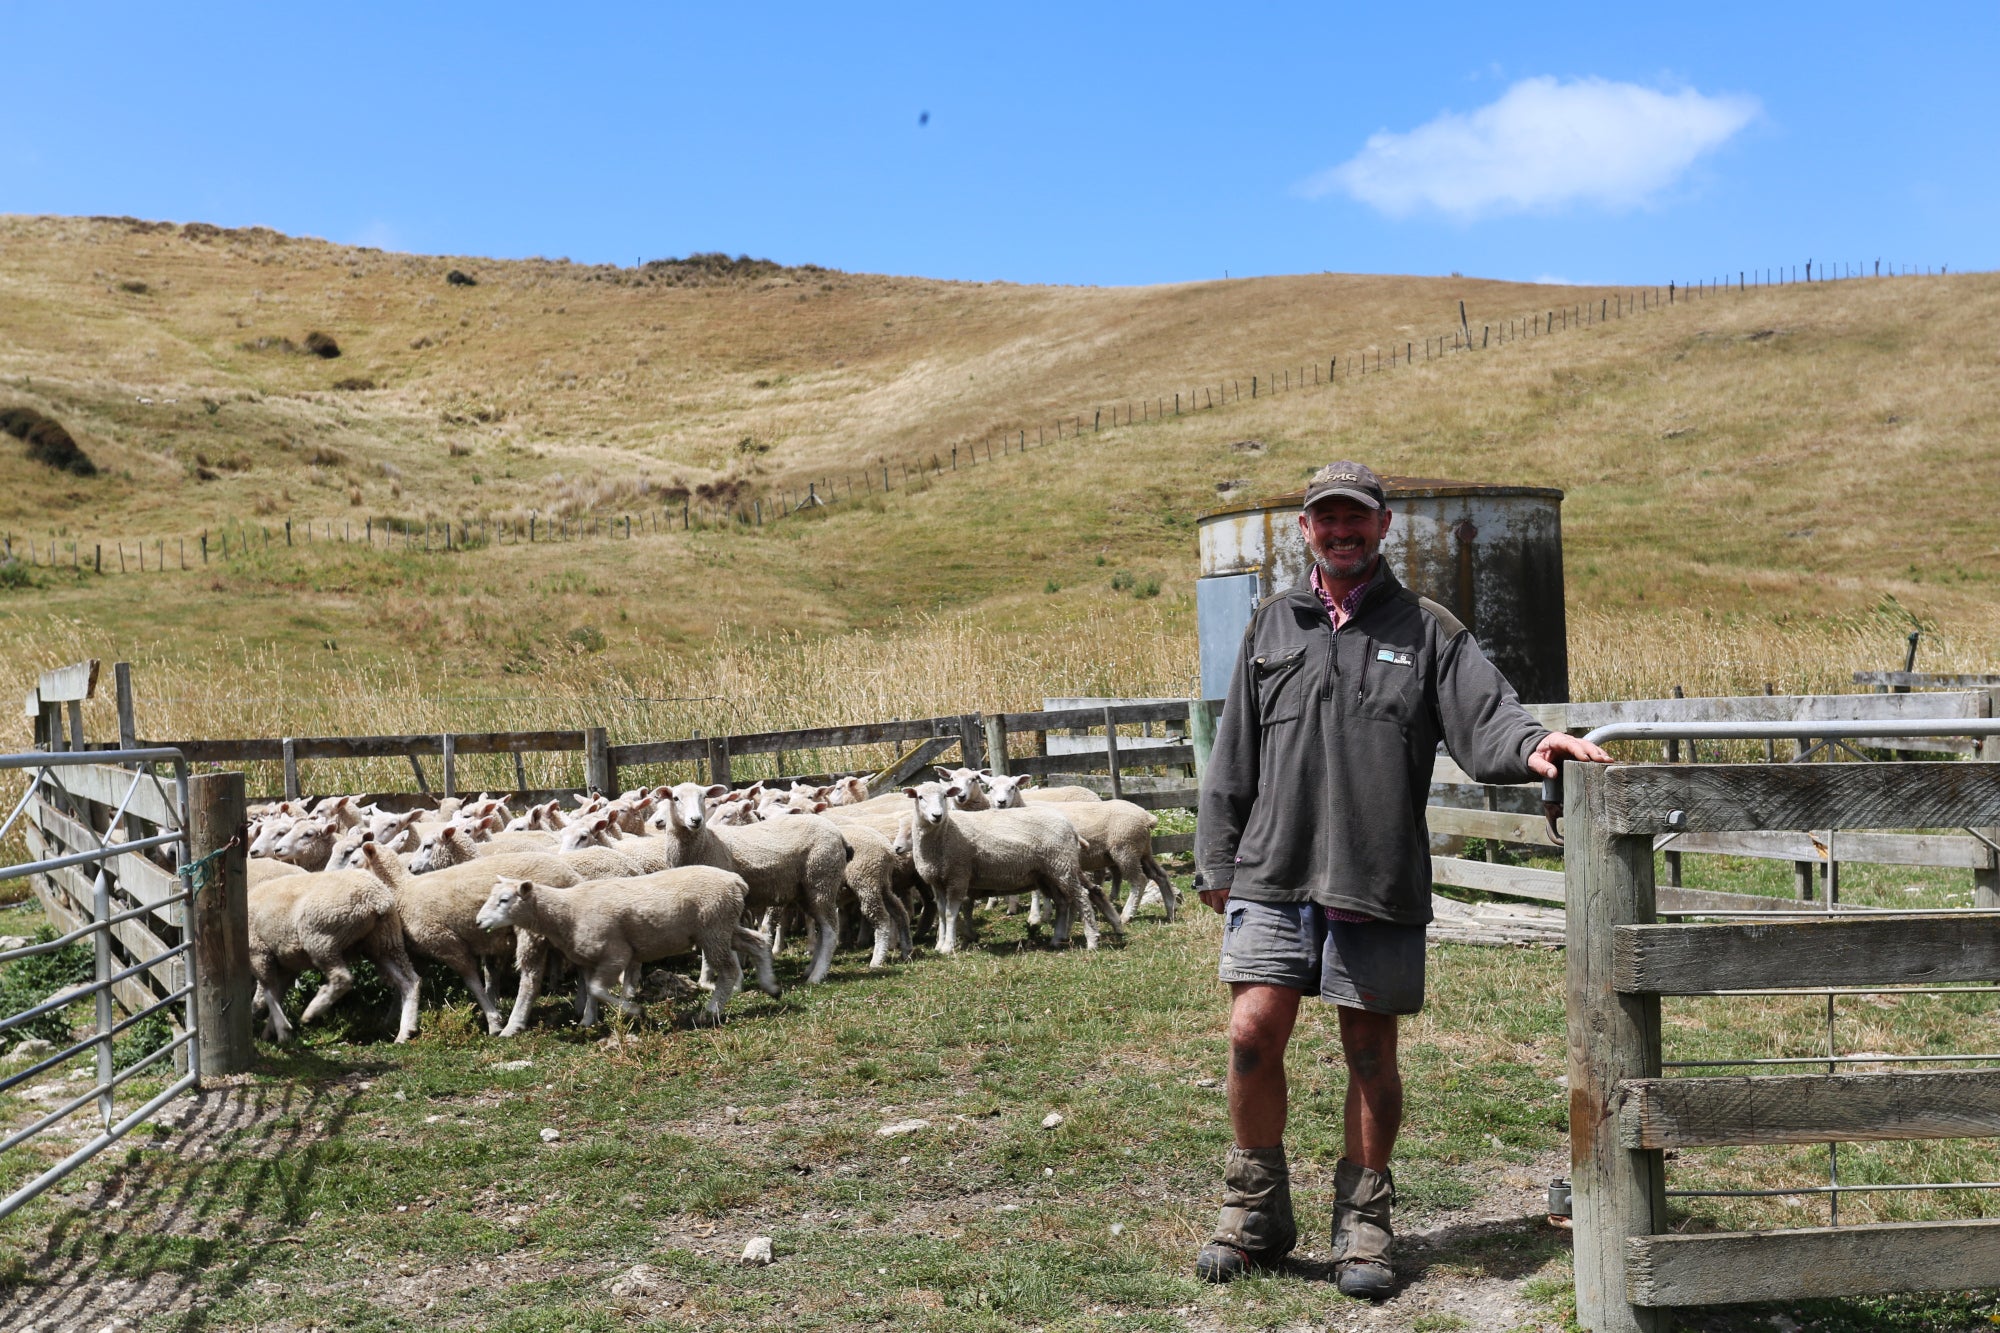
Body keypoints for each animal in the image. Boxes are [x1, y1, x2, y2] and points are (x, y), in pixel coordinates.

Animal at [250, 860, 422, 1040]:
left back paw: (313, 1010)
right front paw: (272, 1030)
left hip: (321, 936)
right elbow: (276, 994)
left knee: (342, 978)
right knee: (410, 981)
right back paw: (405, 1031)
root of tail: (376, 899)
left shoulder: (259, 952)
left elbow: (268, 992)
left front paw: (281, 1031)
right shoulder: (286, 964)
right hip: (385, 941)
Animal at [360, 836, 584, 1032]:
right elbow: (402, 988)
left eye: (356, 861)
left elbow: (473, 982)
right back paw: (583, 1010)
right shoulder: (418, 951)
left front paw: (493, 1021)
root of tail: (572, 877)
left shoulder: (447, 942)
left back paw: (514, 1024)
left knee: (531, 978)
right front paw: (391, 1019)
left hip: (530, 929)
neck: (401, 890)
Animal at [472, 868, 776, 1020]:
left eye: (504, 900)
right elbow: (591, 992)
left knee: (729, 971)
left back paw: (710, 1012)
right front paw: (587, 1021)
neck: (566, 912)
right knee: (758, 942)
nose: (477, 922)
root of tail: (736, 881)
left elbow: (597, 989)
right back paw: (771, 987)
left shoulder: (615, 953)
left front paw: (634, 1011)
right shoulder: (588, 959)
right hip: (721, 926)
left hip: (713, 928)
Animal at [652, 772, 848, 980]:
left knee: (830, 931)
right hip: (808, 890)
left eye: (703, 797)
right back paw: (810, 969)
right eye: (675, 798)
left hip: (822, 880)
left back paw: (816, 975)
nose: (696, 820)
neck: (707, 844)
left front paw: (712, 977)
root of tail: (838, 833)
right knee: (822, 927)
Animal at [904, 780, 1120, 956]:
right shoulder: (937, 880)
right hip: (1048, 873)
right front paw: (939, 945)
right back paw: (1056, 939)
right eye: (920, 797)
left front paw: (948, 947)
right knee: (1062, 902)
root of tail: (1069, 825)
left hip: (1062, 866)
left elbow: (950, 914)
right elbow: (941, 913)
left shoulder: (958, 876)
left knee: (1082, 897)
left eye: (944, 796)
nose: (937, 815)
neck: (945, 832)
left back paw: (1092, 940)